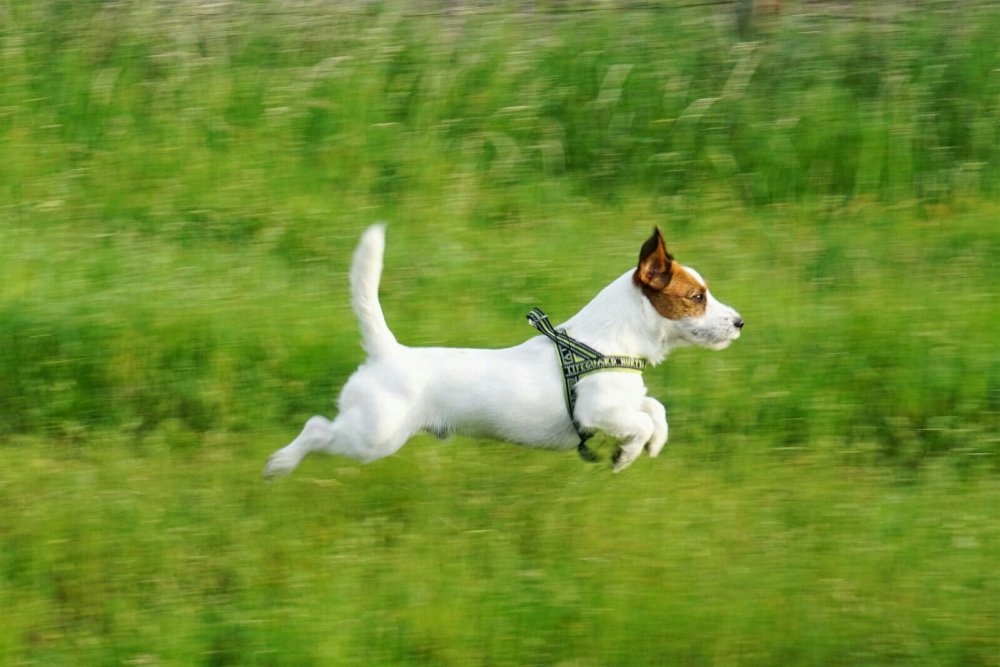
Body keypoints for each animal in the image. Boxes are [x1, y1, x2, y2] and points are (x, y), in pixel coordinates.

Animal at [266, 227, 744, 478]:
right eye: (697, 297)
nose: (740, 322)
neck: (604, 341)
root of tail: (387, 352)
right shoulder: (598, 413)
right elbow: (640, 422)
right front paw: (626, 455)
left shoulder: (624, 402)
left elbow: (654, 410)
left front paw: (652, 445)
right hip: (373, 436)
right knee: (316, 428)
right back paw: (281, 462)